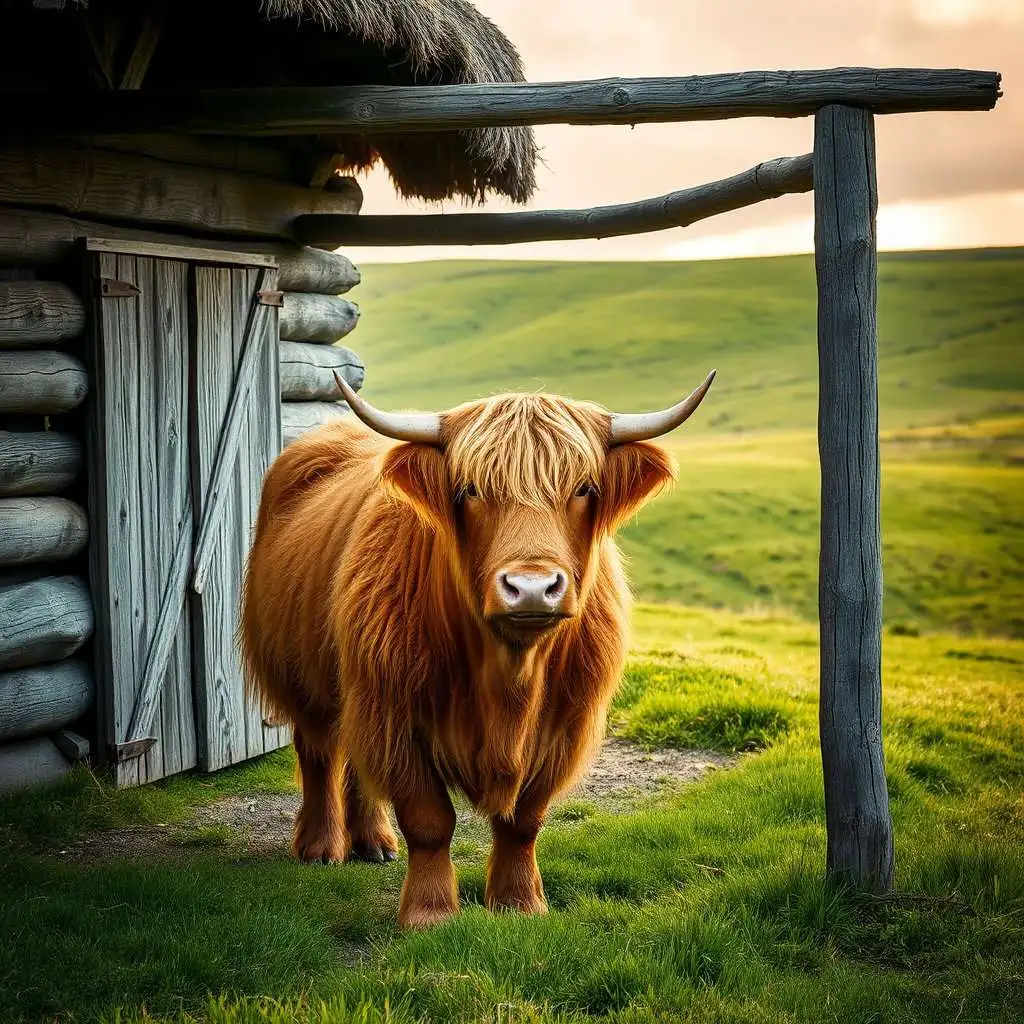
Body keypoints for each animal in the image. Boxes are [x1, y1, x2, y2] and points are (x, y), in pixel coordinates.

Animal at [239, 370, 715, 928]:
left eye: (584, 488)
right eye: (469, 490)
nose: (531, 587)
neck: (507, 675)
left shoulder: (561, 725)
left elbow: (524, 820)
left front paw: (520, 903)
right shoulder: (396, 712)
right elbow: (428, 819)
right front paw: (430, 913)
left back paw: (374, 842)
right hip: (306, 677)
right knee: (319, 753)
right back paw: (320, 847)